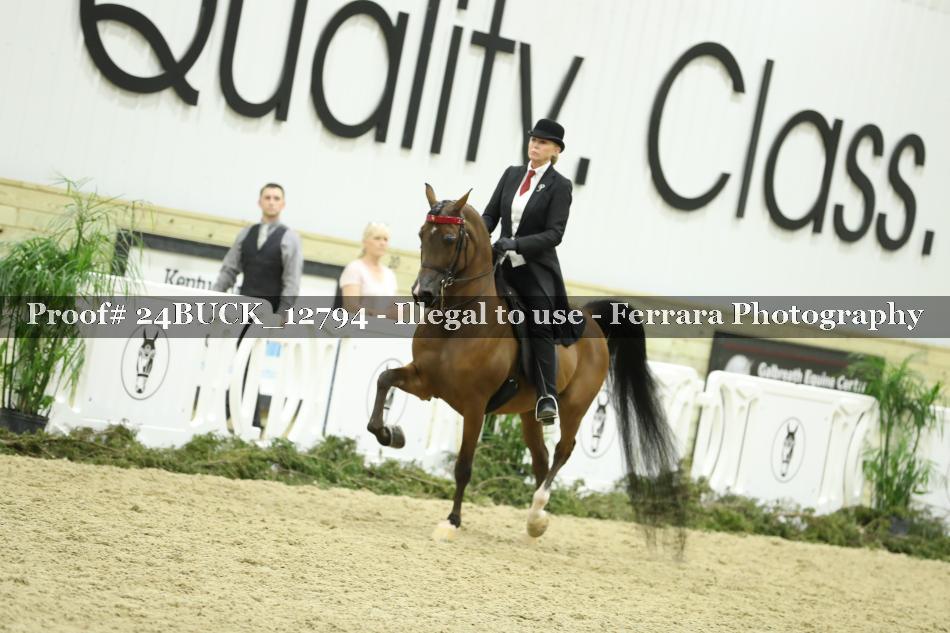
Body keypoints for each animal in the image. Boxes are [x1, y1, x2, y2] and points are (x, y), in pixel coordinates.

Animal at [366, 185, 684, 542]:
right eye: (422, 234)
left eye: (448, 239)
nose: (423, 293)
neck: (457, 320)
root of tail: (590, 318)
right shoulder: (426, 381)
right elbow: (384, 379)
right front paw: (389, 434)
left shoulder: (475, 405)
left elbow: (463, 466)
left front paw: (452, 521)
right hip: (528, 412)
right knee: (541, 458)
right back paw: (536, 520)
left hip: (574, 406)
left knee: (562, 450)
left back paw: (537, 511)